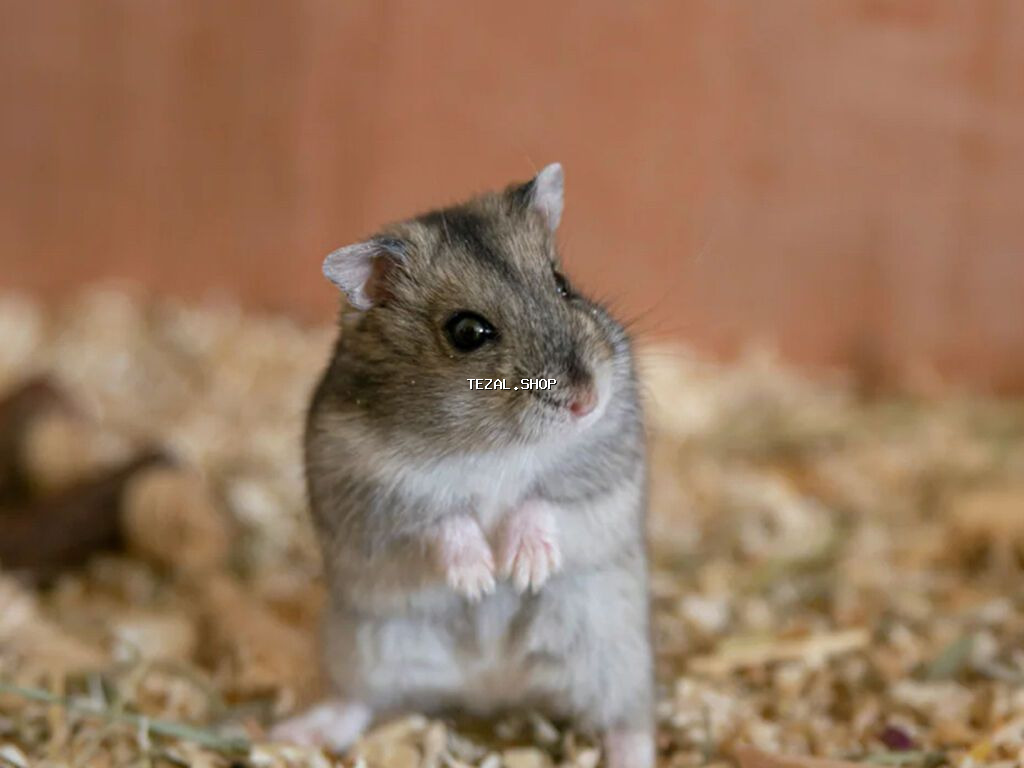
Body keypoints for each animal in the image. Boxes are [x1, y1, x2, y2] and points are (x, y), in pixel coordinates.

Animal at [272, 164, 654, 768]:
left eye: (562, 283)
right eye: (468, 332)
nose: (586, 402)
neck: (491, 445)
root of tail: (491, 686)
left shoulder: (604, 466)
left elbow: (544, 500)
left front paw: (522, 570)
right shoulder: (371, 491)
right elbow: (441, 519)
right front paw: (479, 580)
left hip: (613, 651)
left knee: (629, 722)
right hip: (363, 647)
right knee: (356, 702)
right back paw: (292, 734)